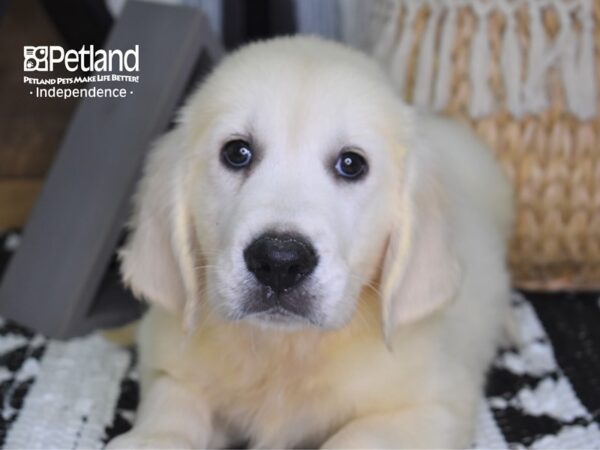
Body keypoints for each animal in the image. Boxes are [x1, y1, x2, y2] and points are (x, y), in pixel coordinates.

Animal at [106, 36, 510, 450]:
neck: (286, 349)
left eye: (351, 164)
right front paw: (150, 439)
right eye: (237, 153)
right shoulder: (169, 368)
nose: (279, 261)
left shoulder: (436, 407)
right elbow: (172, 409)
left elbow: (355, 437)